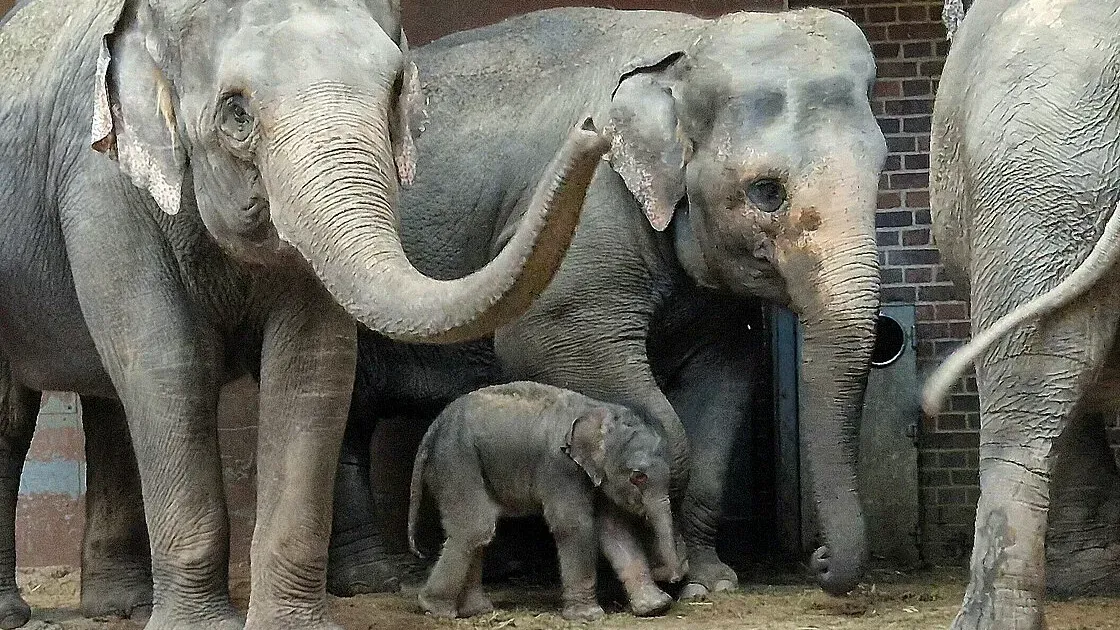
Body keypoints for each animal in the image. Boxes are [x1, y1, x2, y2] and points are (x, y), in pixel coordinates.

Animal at [0, 0, 613, 623]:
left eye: (396, 90)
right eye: (236, 112)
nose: (593, 130)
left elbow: (311, 366)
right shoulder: (100, 188)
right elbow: (168, 366)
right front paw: (202, 627)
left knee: (107, 405)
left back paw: (121, 607)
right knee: (19, 417)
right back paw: (30, 613)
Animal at [405, 376, 676, 618]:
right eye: (638, 477)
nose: (671, 578)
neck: (597, 409)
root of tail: (432, 428)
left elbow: (614, 529)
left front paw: (655, 607)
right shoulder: (560, 467)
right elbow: (574, 525)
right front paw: (588, 616)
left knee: (479, 530)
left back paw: (476, 610)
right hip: (457, 460)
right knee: (474, 528)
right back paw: (436, 608)